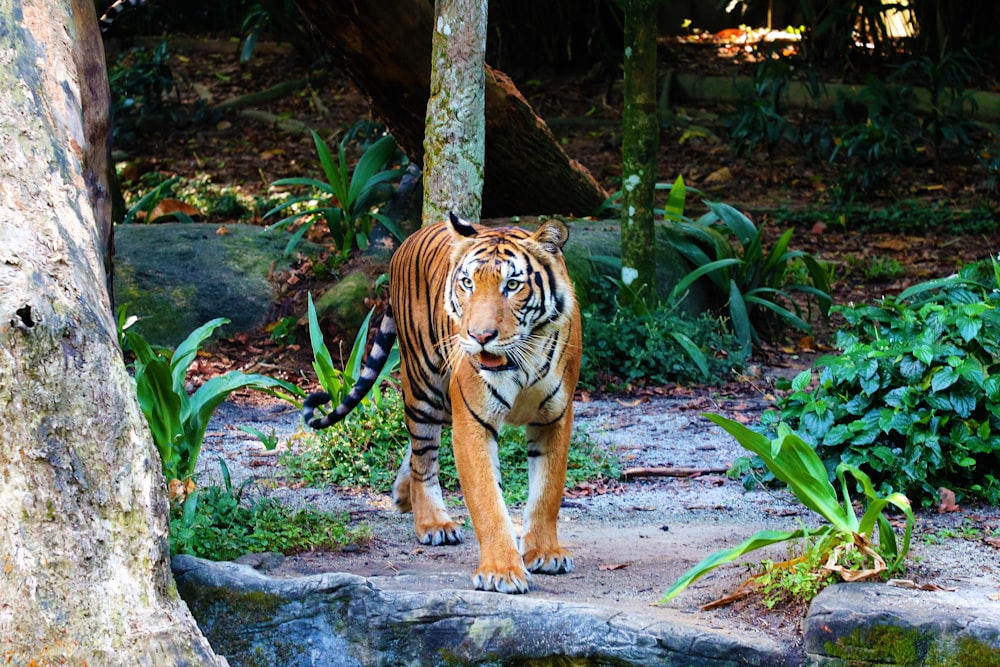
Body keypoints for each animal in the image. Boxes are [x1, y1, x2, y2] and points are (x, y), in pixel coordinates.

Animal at [304, 211, 584, 592]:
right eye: (467, 283)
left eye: (512, 285)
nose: (480, 336)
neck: (521, 360)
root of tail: (407, 240)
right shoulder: (472, 419)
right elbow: (487, 499)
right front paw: (501, 571)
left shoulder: (554, 417)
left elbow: (547, 492)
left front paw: (545, 553)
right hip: (425, 385)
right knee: (424, 458)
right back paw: (433, 523)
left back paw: (403, 495)